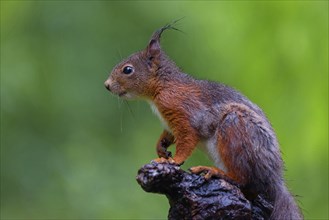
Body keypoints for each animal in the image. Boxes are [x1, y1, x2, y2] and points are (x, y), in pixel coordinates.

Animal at [104, 23, 302, 219]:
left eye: (128, 70)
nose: (106, 85)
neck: (163, 87)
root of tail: (273, 177)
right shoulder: (170, 123)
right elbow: (168, 135)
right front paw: (161, 148)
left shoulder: (185, 114)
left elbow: (187, 139)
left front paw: (174, 160)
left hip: (235, 131)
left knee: (246, 180)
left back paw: (215, 172)